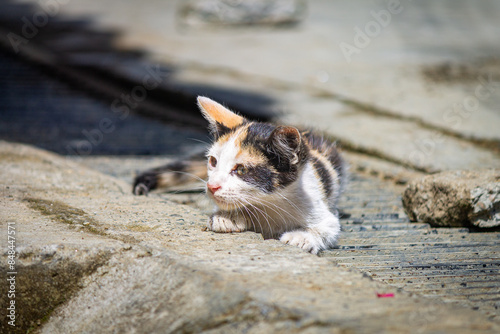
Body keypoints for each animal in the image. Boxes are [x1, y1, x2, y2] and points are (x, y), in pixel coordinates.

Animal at [132, 96, 348, 253]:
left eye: (241, 170)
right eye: (213, 161)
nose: (212, 186)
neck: (270, 204)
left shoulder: (320, 209)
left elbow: (329, 227)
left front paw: (301, 237)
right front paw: (228, 217)